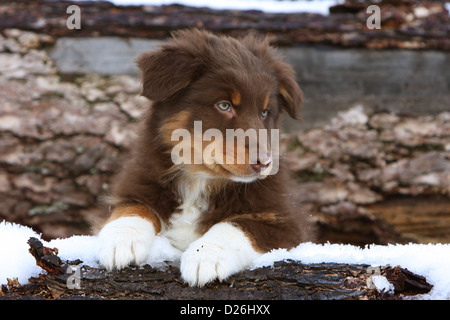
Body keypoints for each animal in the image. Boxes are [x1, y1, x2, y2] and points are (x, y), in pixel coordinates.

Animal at [97, 28, 316, 286]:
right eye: (224, 105)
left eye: (264, 113)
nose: (264, 163)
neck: (200, 181)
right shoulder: (140, 183)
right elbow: (132, 207)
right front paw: (120, 241)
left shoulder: (285, 222)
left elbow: (235, 225)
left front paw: (206, 257)